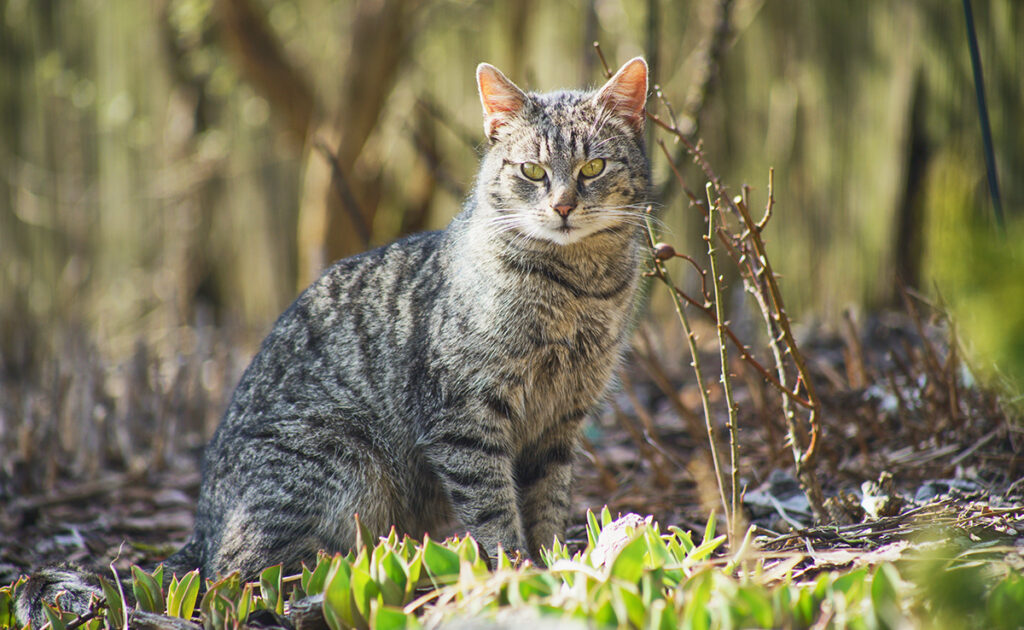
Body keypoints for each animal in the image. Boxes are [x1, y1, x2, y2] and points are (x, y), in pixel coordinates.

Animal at [16, 56, 651, 626]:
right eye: (533, 171)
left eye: (593, 167)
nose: (563, 205)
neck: (578, 289)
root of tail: (201, 523)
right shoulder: (464, 416)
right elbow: (494, 512)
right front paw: (515, 578)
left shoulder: (561, 423)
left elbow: (547, 507)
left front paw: (555, 573)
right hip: (338, 465)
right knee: (235, 577)